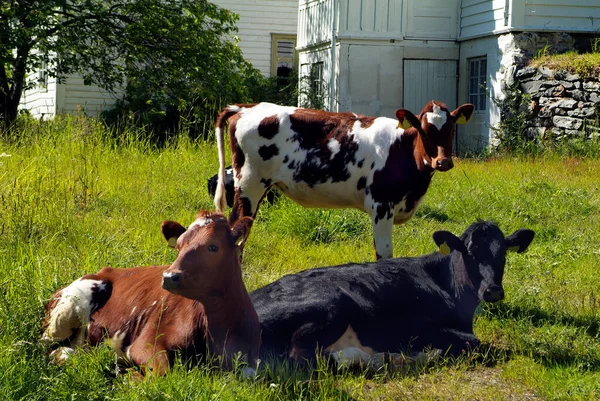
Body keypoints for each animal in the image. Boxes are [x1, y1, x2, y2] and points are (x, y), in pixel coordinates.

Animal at [41, 211, 258, 376]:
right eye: (178, 246)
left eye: (213, 246)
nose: (169, 276)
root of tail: (104, 270)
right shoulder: (145, 343)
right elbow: (162, 373)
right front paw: (126, 374)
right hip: (67, 312)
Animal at [214, 98, 474, 258]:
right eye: (423, 130)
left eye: (451, 129)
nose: (443, 162)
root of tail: (246, 107)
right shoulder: (381, 205)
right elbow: (384, 253)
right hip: (249, 186)